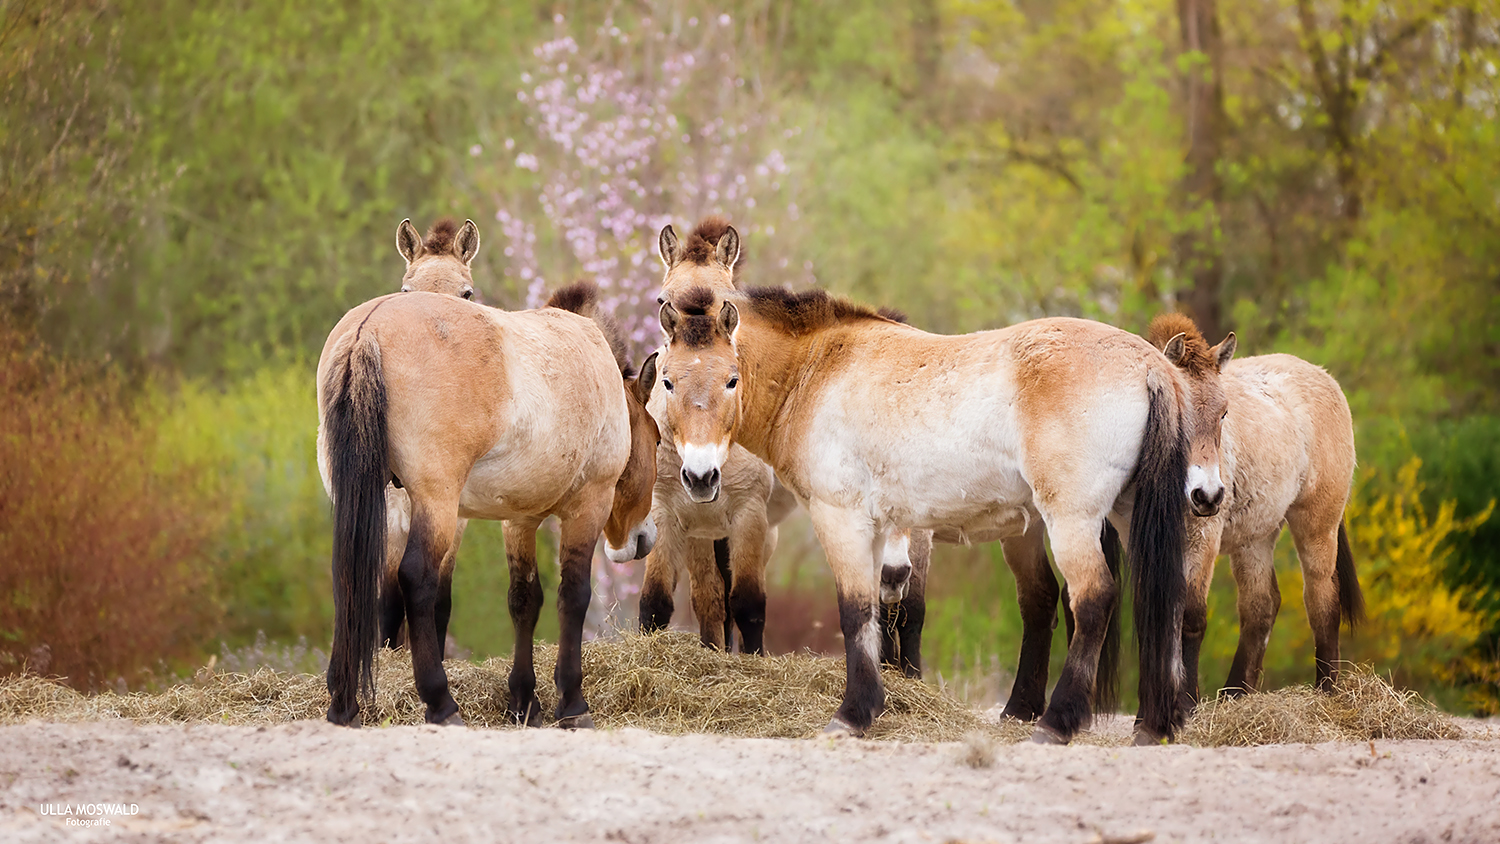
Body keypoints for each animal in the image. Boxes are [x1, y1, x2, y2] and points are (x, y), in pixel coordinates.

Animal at [319, 221, 660, 728]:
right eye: (657, 440)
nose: (643, 538)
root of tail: (369, 330)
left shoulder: (519, 519)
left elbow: (524, 600)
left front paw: (523, 701)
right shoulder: (588, 504)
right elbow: (573, 595)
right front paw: (571, 702)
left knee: (351, 576)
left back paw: (344, 703)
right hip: (435, 502)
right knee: (416, 578)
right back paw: (440, 702)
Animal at [654, 287, 1230, 743]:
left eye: (731, 380)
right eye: (667, 381)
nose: (700, 476)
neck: (819, 370)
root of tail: (1152, 366)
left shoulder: (842, 518)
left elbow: (854, 611)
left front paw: (853, 714)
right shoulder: (882, 531)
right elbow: (880, 612)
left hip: (1071, 520)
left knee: (1093, 599)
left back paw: (1055, 723)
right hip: (1131, 517)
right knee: (1165, 598)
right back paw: (1156, 723)